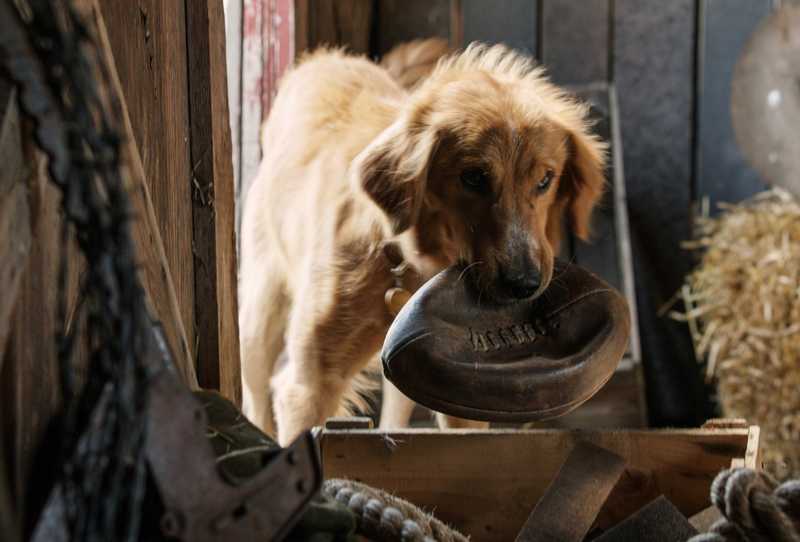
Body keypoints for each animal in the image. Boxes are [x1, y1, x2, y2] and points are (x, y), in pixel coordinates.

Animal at [241, 38, 604, 446]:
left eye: (545, 180)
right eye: (473, 177)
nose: (524, 284)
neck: (406, 260)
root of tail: (323, 58)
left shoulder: (458, 386)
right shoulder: (310, 384)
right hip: (258, 318)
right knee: (254, 396)